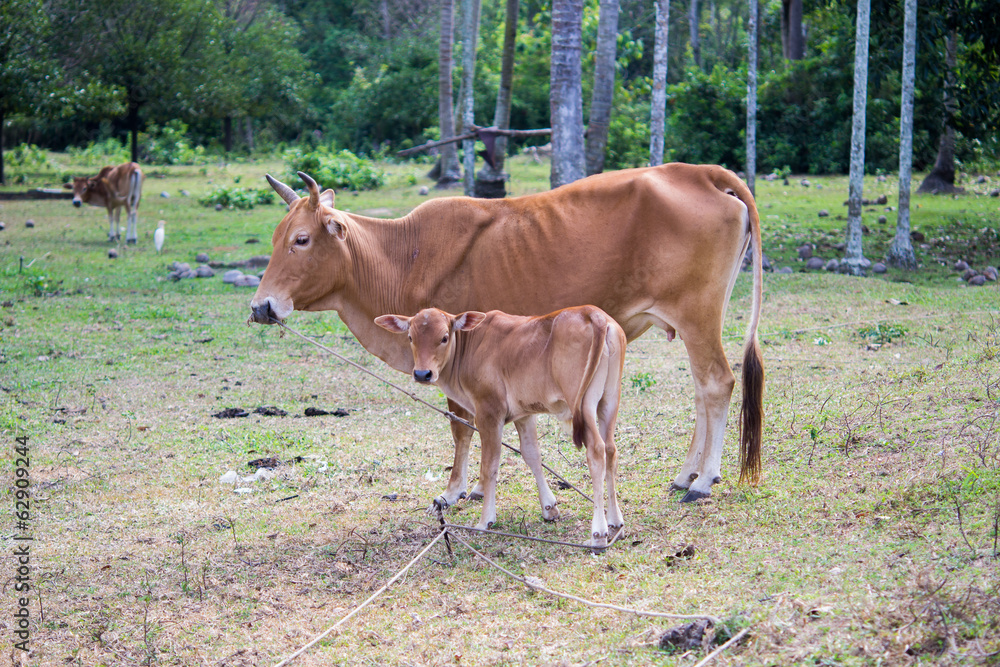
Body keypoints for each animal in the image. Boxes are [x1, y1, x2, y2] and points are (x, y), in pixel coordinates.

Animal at [249, 164, 764, 505]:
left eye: (301, 239)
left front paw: (456, 490)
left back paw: (703, 480)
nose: (261, 306)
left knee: (717, 382)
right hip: (693, 320)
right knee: (701, 390)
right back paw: (686, 473)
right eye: (274, 238)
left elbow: (462, 426)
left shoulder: (451, 360)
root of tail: (700, 172)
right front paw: (476, 487)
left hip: (697, 315)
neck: (402, 256)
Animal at [375, 306, 627, 545]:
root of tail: (594, 313)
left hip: (584, 404)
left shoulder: (489, 414)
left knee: (596, 451)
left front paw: (485, 520)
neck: (470, 347)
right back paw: (615, 522)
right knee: (611, 450)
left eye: (444, 337)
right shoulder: (525, 414)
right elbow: (532, 455)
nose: (422, 373)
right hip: (610, 401)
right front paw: (549, 508)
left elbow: (489, 467)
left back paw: (598, 533)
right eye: (410, 337)